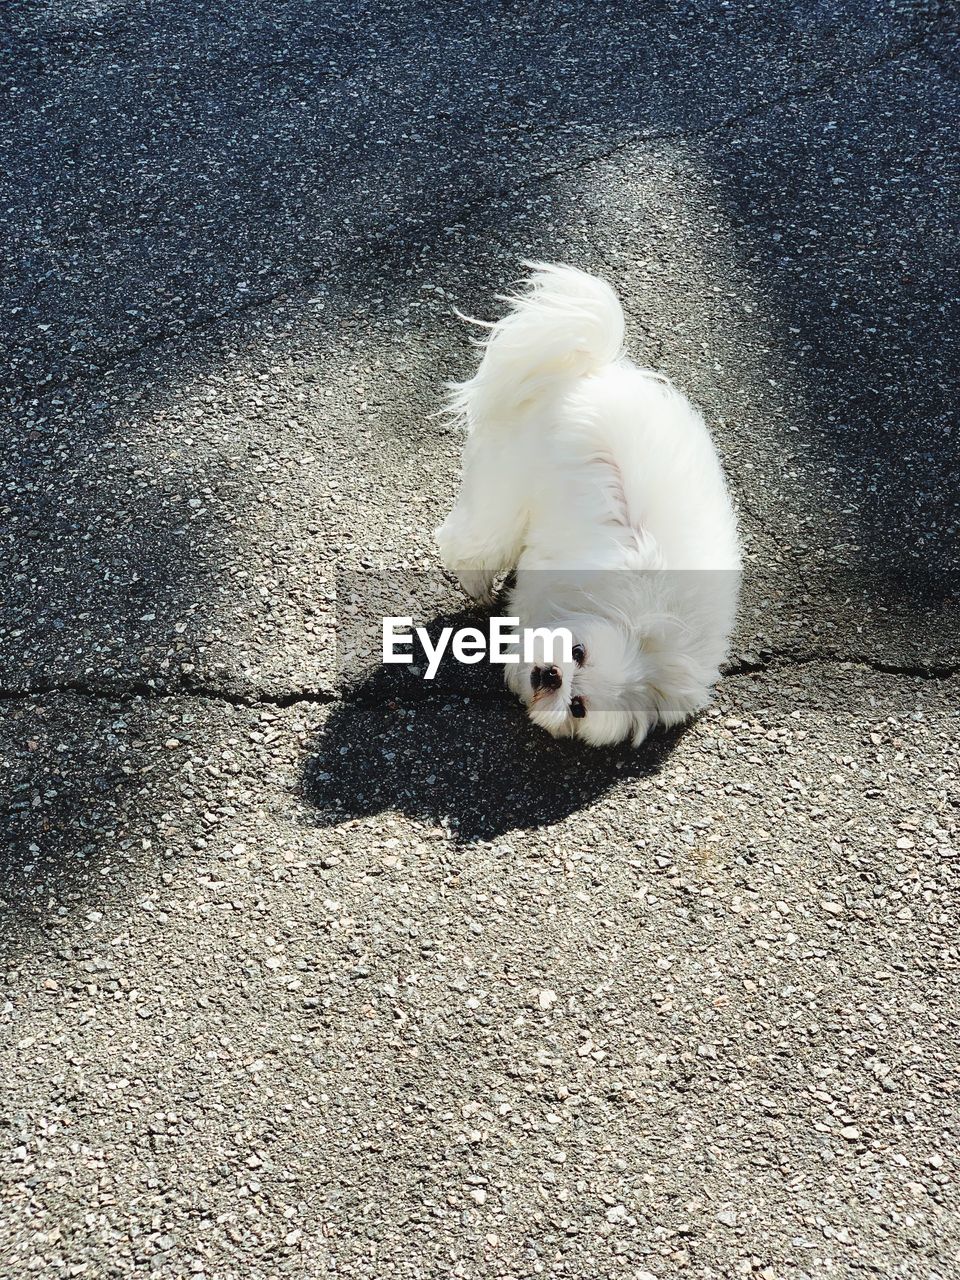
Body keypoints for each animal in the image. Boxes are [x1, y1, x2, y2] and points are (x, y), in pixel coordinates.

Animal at [435, 264, 742, 747]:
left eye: (578, 707)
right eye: (577, 652)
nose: (553, 676)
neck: (636, 625)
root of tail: (592, 372)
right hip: (506, 483)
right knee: (476, 539)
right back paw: (475, 579)